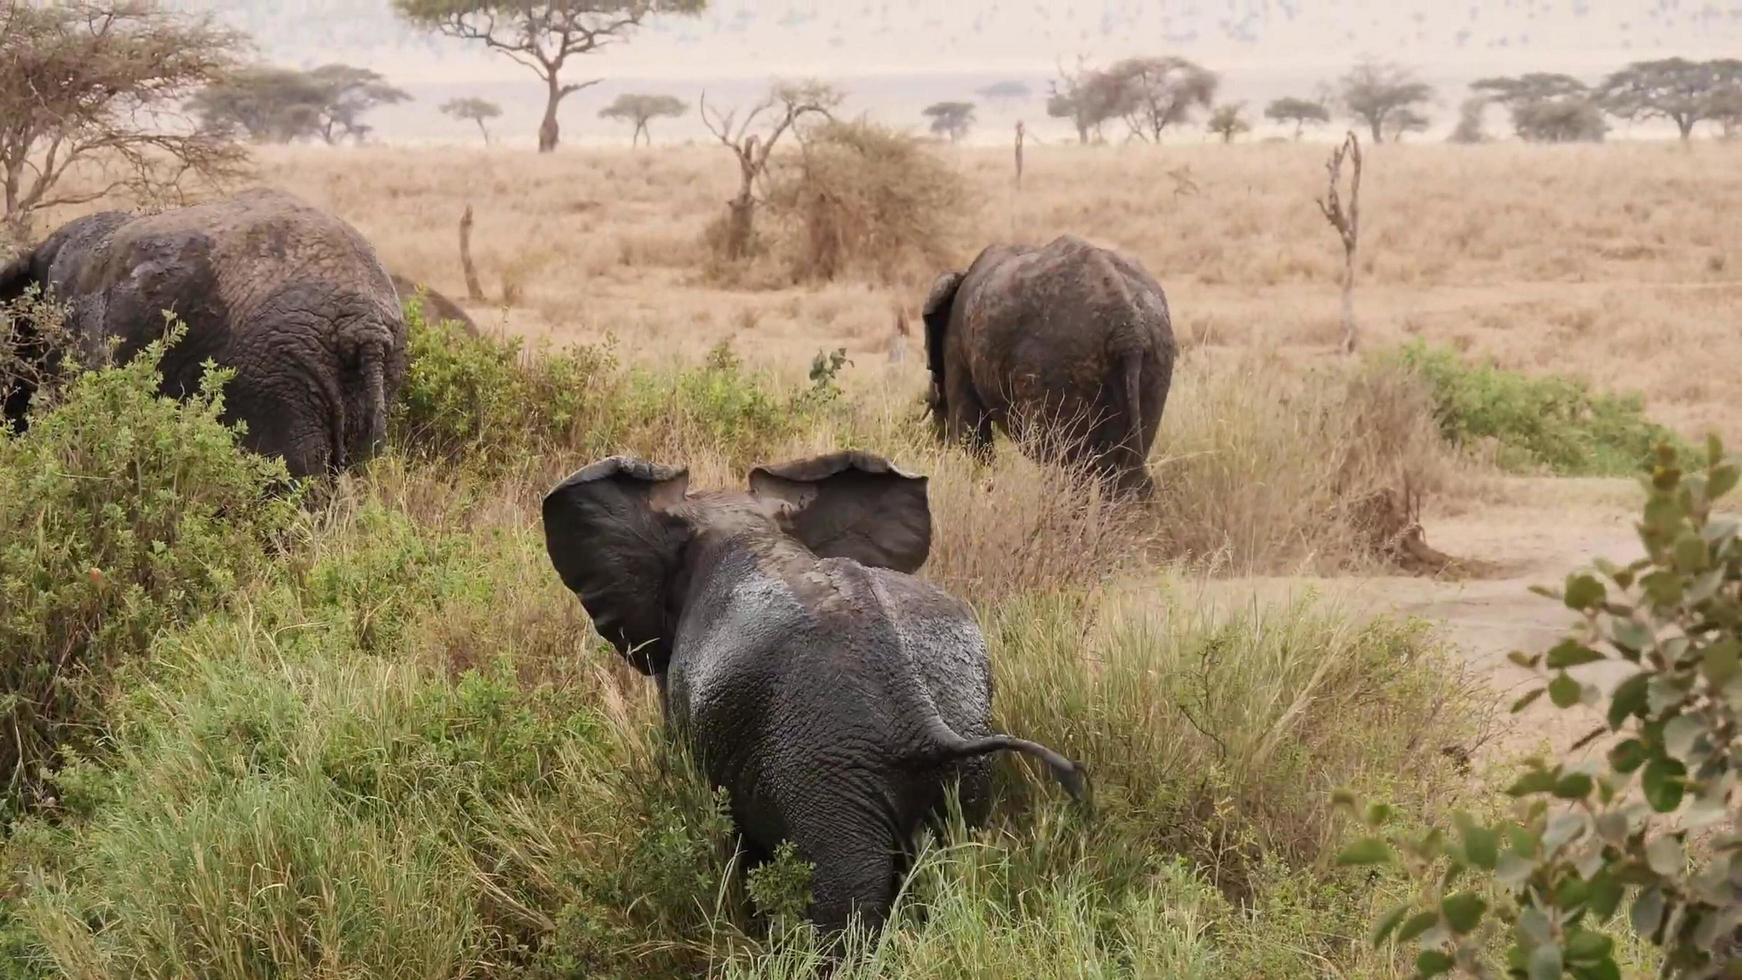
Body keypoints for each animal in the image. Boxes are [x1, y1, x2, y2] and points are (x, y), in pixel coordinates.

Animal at [543, 452, 1087, 933]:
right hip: (961, 750)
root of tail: (917, 714)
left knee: (844, 904)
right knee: (951, 868)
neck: (750, 530)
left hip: (823, 774)